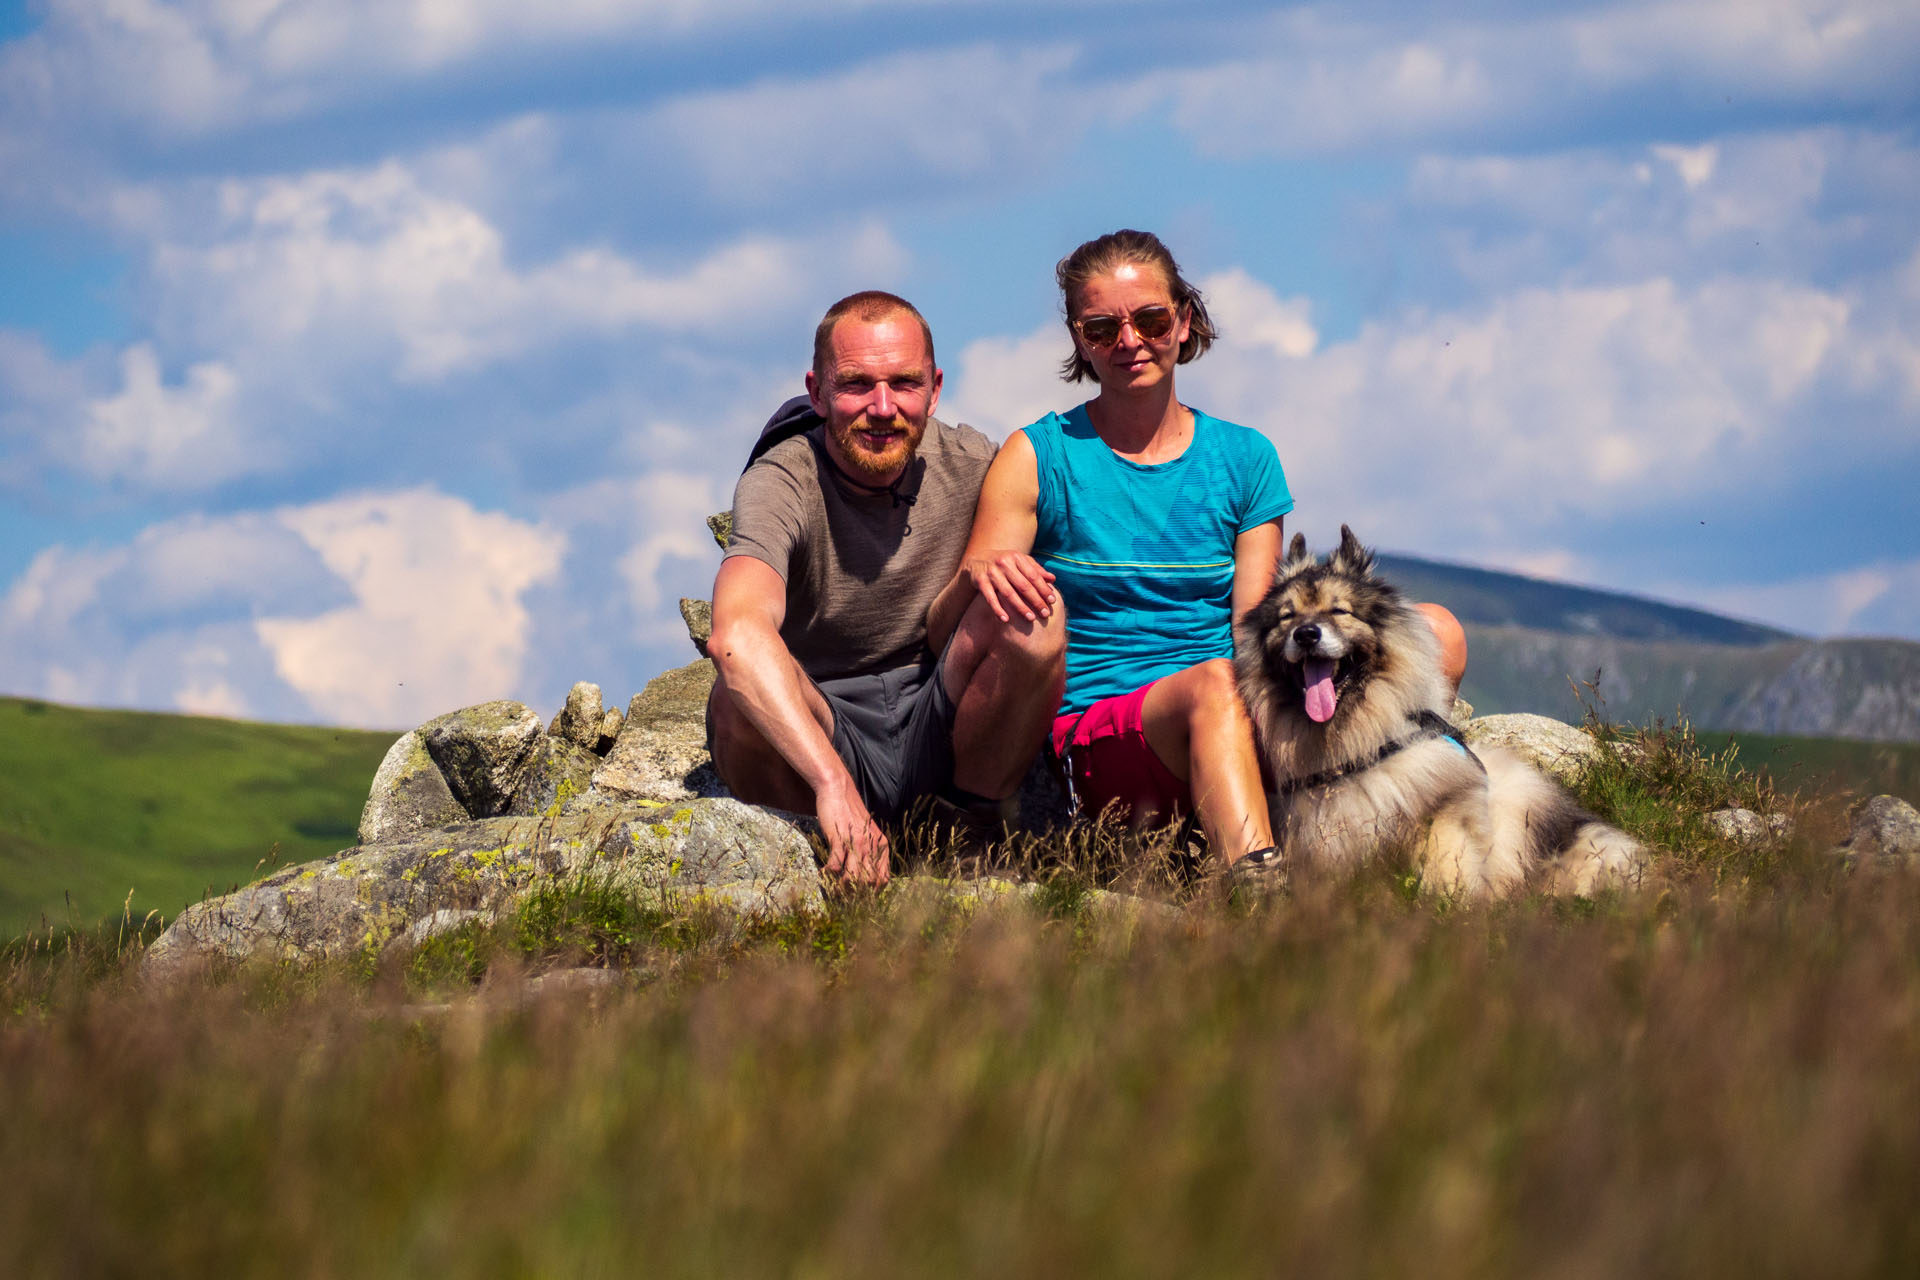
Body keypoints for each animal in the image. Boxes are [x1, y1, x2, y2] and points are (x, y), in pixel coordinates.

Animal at [1236, 525, 1643, 898]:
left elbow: (1443, 868)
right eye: (1287, 617)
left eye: (1340, 610)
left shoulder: (1443, 814)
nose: (1306, 634)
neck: (1353, 749)